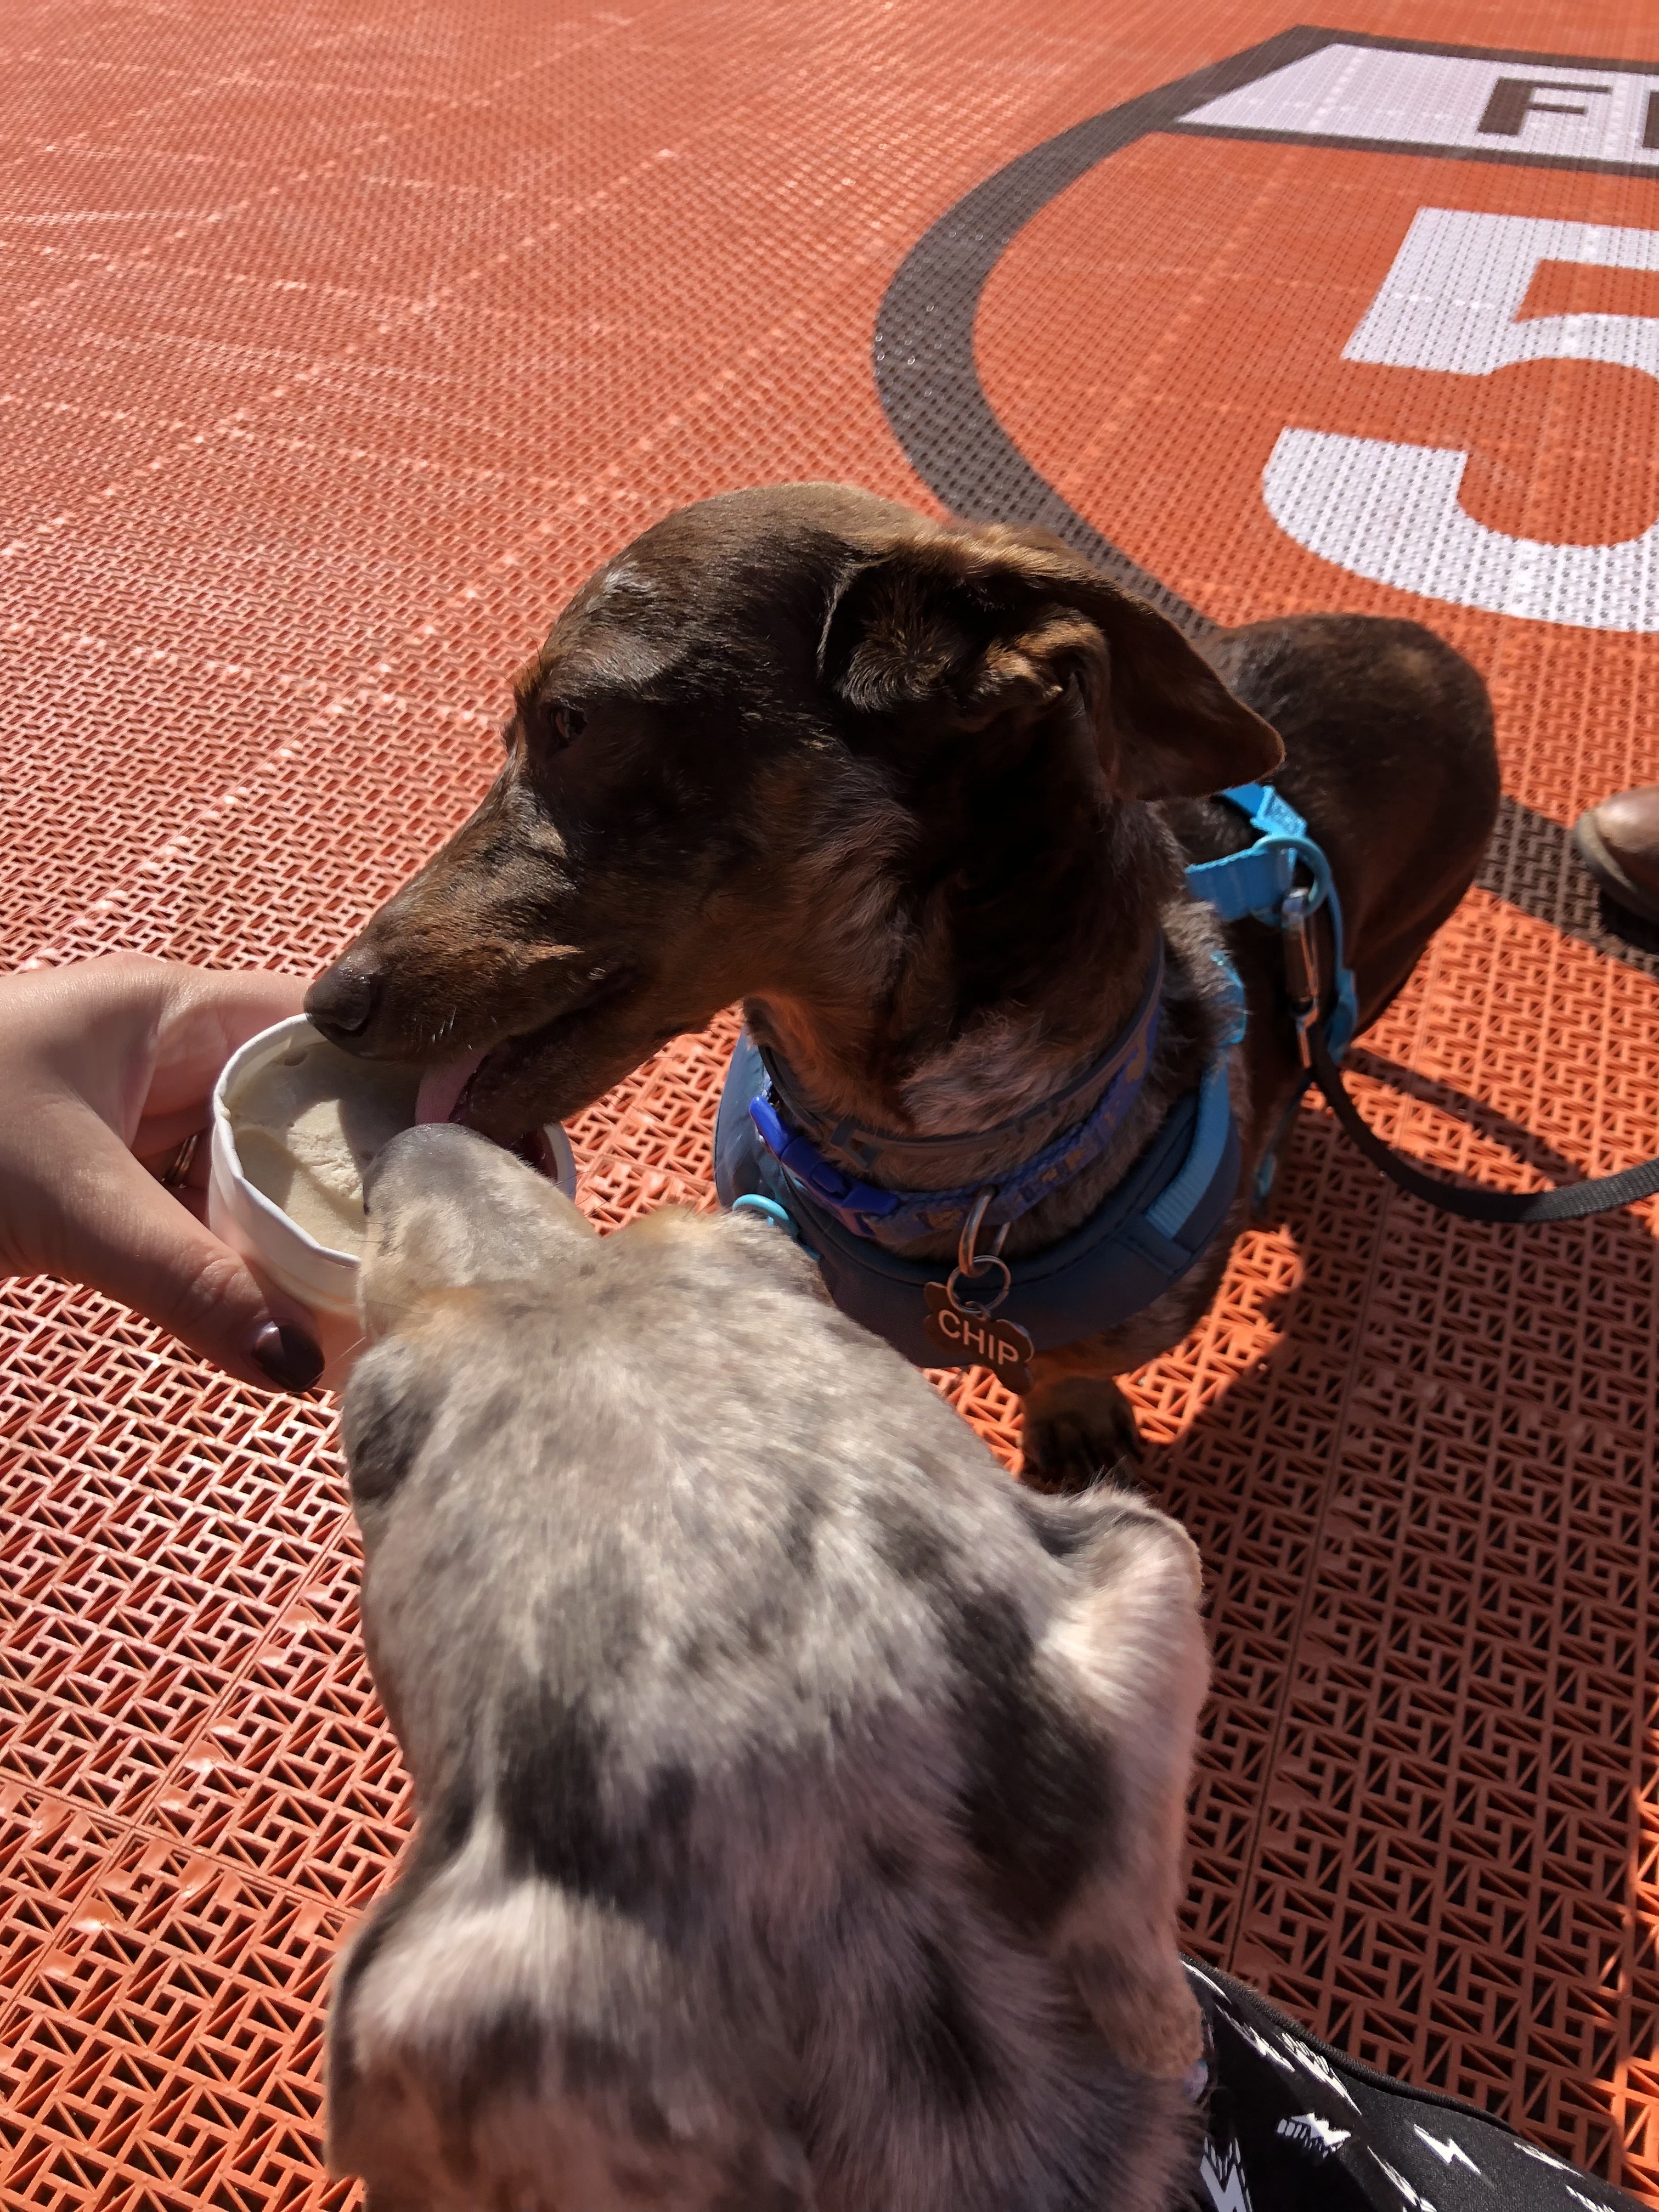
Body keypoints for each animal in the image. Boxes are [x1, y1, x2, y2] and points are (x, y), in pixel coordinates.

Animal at [305, 484, 1504, 1486]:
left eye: (571, 722)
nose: (330, 1002)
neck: (928, 1173)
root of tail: (1430, 642)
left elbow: (1066, 1364)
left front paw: (1070, 1413)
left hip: (1382, 957)